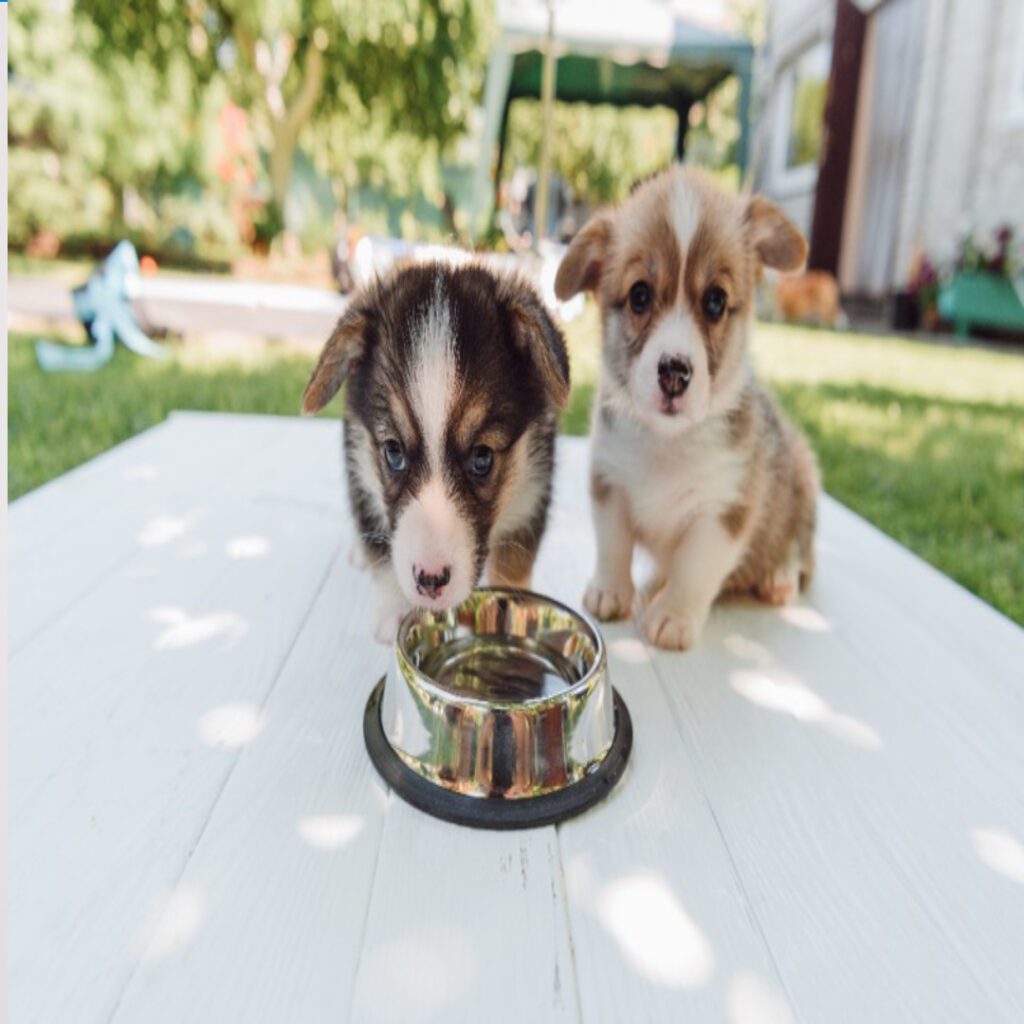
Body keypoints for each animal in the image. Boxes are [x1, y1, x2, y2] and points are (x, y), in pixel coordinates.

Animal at [552, 164, 815, 651]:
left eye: (715, 301)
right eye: (639, 295)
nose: (674, 371)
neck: (667, 442)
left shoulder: (723, 512)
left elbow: (696, 569)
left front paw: (673, 617)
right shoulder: (609, 483)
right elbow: (613, 545)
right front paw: (611, 592)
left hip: (803, 477)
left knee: (799, 550)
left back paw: (777, 576)